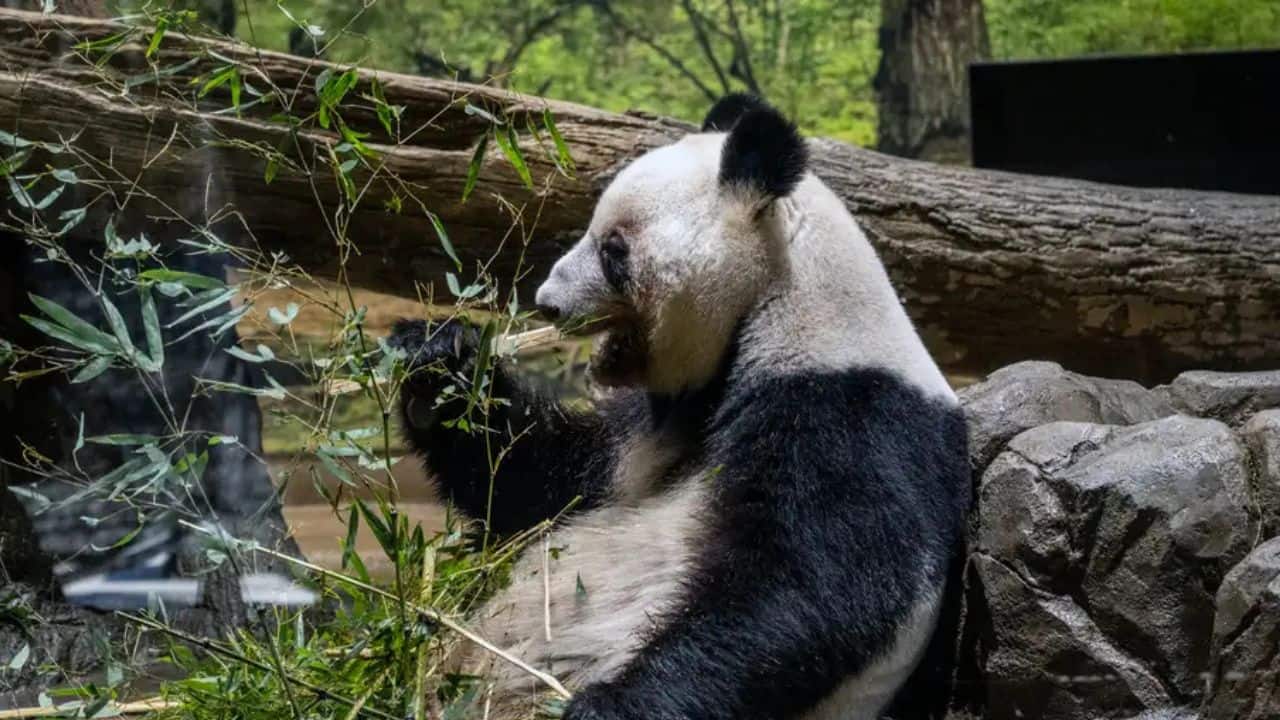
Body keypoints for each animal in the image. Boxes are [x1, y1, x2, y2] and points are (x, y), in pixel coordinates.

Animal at [389, 94, 969, 720]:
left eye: (613, 249)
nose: (547, 304)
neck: (776, 303)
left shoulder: (849, 412)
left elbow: (810, 591)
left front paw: (606, 707)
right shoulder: (653, 426)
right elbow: (541, 485)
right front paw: (437, 361)